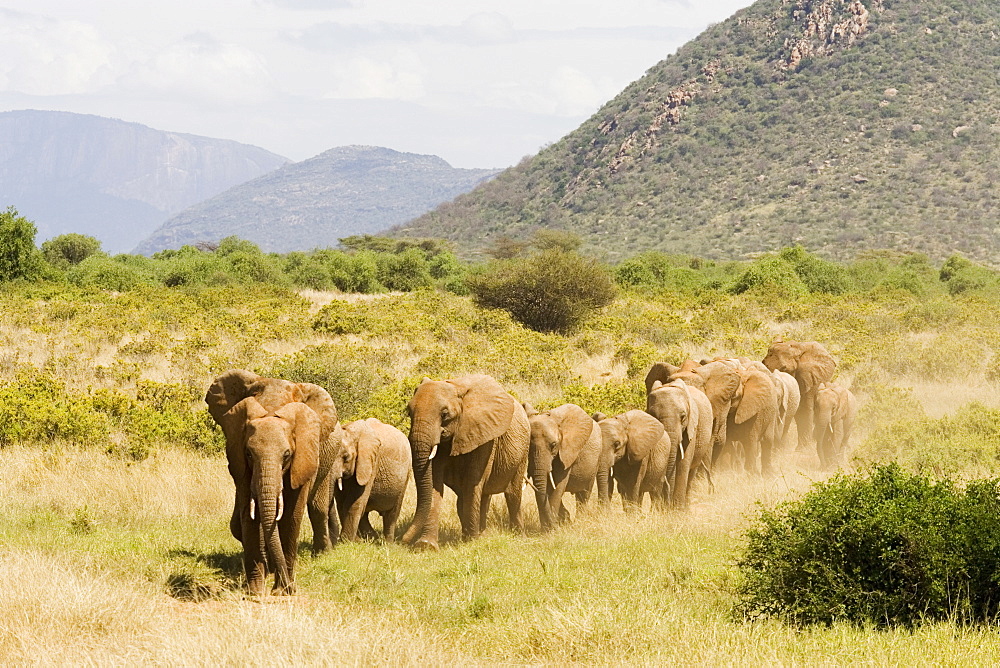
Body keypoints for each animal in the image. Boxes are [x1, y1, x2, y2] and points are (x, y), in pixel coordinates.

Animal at [204, 370, 344, 596]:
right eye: (249, 454)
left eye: (287, 455)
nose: (292, 588)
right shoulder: (237, 450)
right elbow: (249, 514)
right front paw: (255, 592)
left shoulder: (304, 454)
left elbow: (291, 515)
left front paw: (281, 591)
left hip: (328, 459)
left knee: (317, 509)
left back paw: (321, 555)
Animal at [400, 374, 532, 552]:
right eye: (409, 412)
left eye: (445, 414)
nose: (402, 539)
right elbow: (434, 482)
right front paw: (426, 546)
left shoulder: (485, 435)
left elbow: (473, 481)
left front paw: (471, 542)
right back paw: (481, 534)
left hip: (523, 449)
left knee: (512, 494)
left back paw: (516, 536)